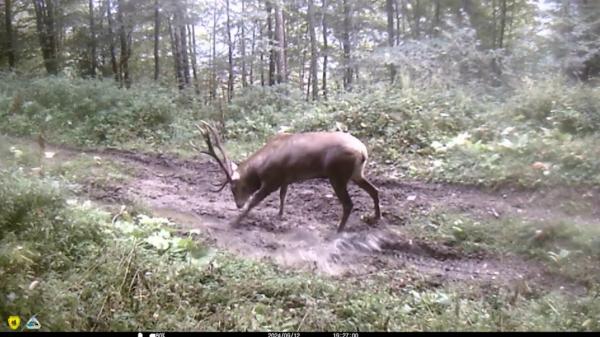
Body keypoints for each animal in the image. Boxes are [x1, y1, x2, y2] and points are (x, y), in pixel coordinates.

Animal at [192, 121, 380, 234]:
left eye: (234, 187)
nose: (238, 205)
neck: (261, 167)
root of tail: (363, 151)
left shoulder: (272, 180)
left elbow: (255, 201)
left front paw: (235, 222)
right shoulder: (285, 178)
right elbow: (283, 196)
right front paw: (280, 215)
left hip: (337, 174)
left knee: (349, 203)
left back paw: (338, 230)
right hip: (357, 173)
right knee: (375, 190)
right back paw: (376, 217)